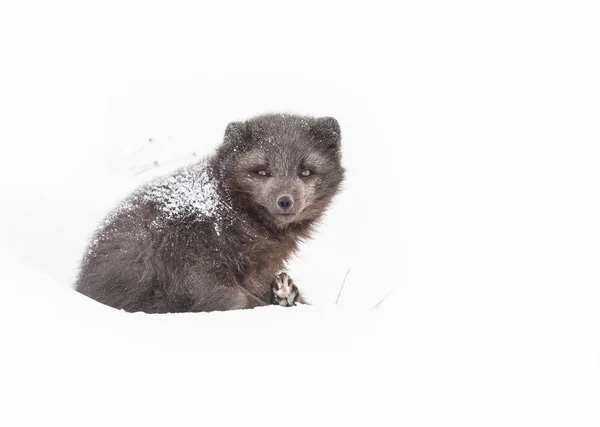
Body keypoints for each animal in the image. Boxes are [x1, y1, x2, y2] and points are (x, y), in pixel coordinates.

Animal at [77, 114, 344, 314]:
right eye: (262, 171)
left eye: (306, 171)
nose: (285, 201)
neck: (231, 210)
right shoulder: (194, 258)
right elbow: (236, 299)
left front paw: (285, 295)